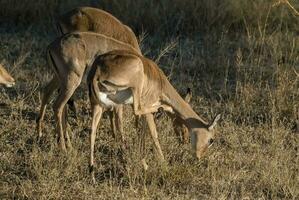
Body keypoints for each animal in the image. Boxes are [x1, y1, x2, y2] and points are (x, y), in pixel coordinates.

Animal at [88, 49, 221, 183]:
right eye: (211, 140)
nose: (199, 157)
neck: (161, 82)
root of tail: (98, 68)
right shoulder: (147, 111)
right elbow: (153, 135)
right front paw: (164, 168)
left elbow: (141, 134)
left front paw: (144, 164)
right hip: (134, 91)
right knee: (137, 110)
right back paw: (161, 108)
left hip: (97, 106)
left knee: (92, 132)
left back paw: (92, 176)